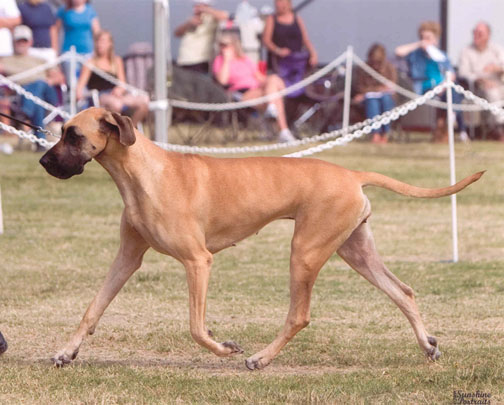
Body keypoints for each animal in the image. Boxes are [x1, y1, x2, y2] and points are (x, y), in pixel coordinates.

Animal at [40, 107, 484, 370]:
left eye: (72, 135)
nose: (44, 161)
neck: (142, 174)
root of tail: (352, 175)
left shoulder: (198, 261)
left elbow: (196, 328)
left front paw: (226, 349)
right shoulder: (126, 259)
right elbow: (93, 308)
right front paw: (67, 350)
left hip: (304, 252)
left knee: (299, 315)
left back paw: (260, 358)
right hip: (355, 251)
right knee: (402, 291)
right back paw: (427, 346)